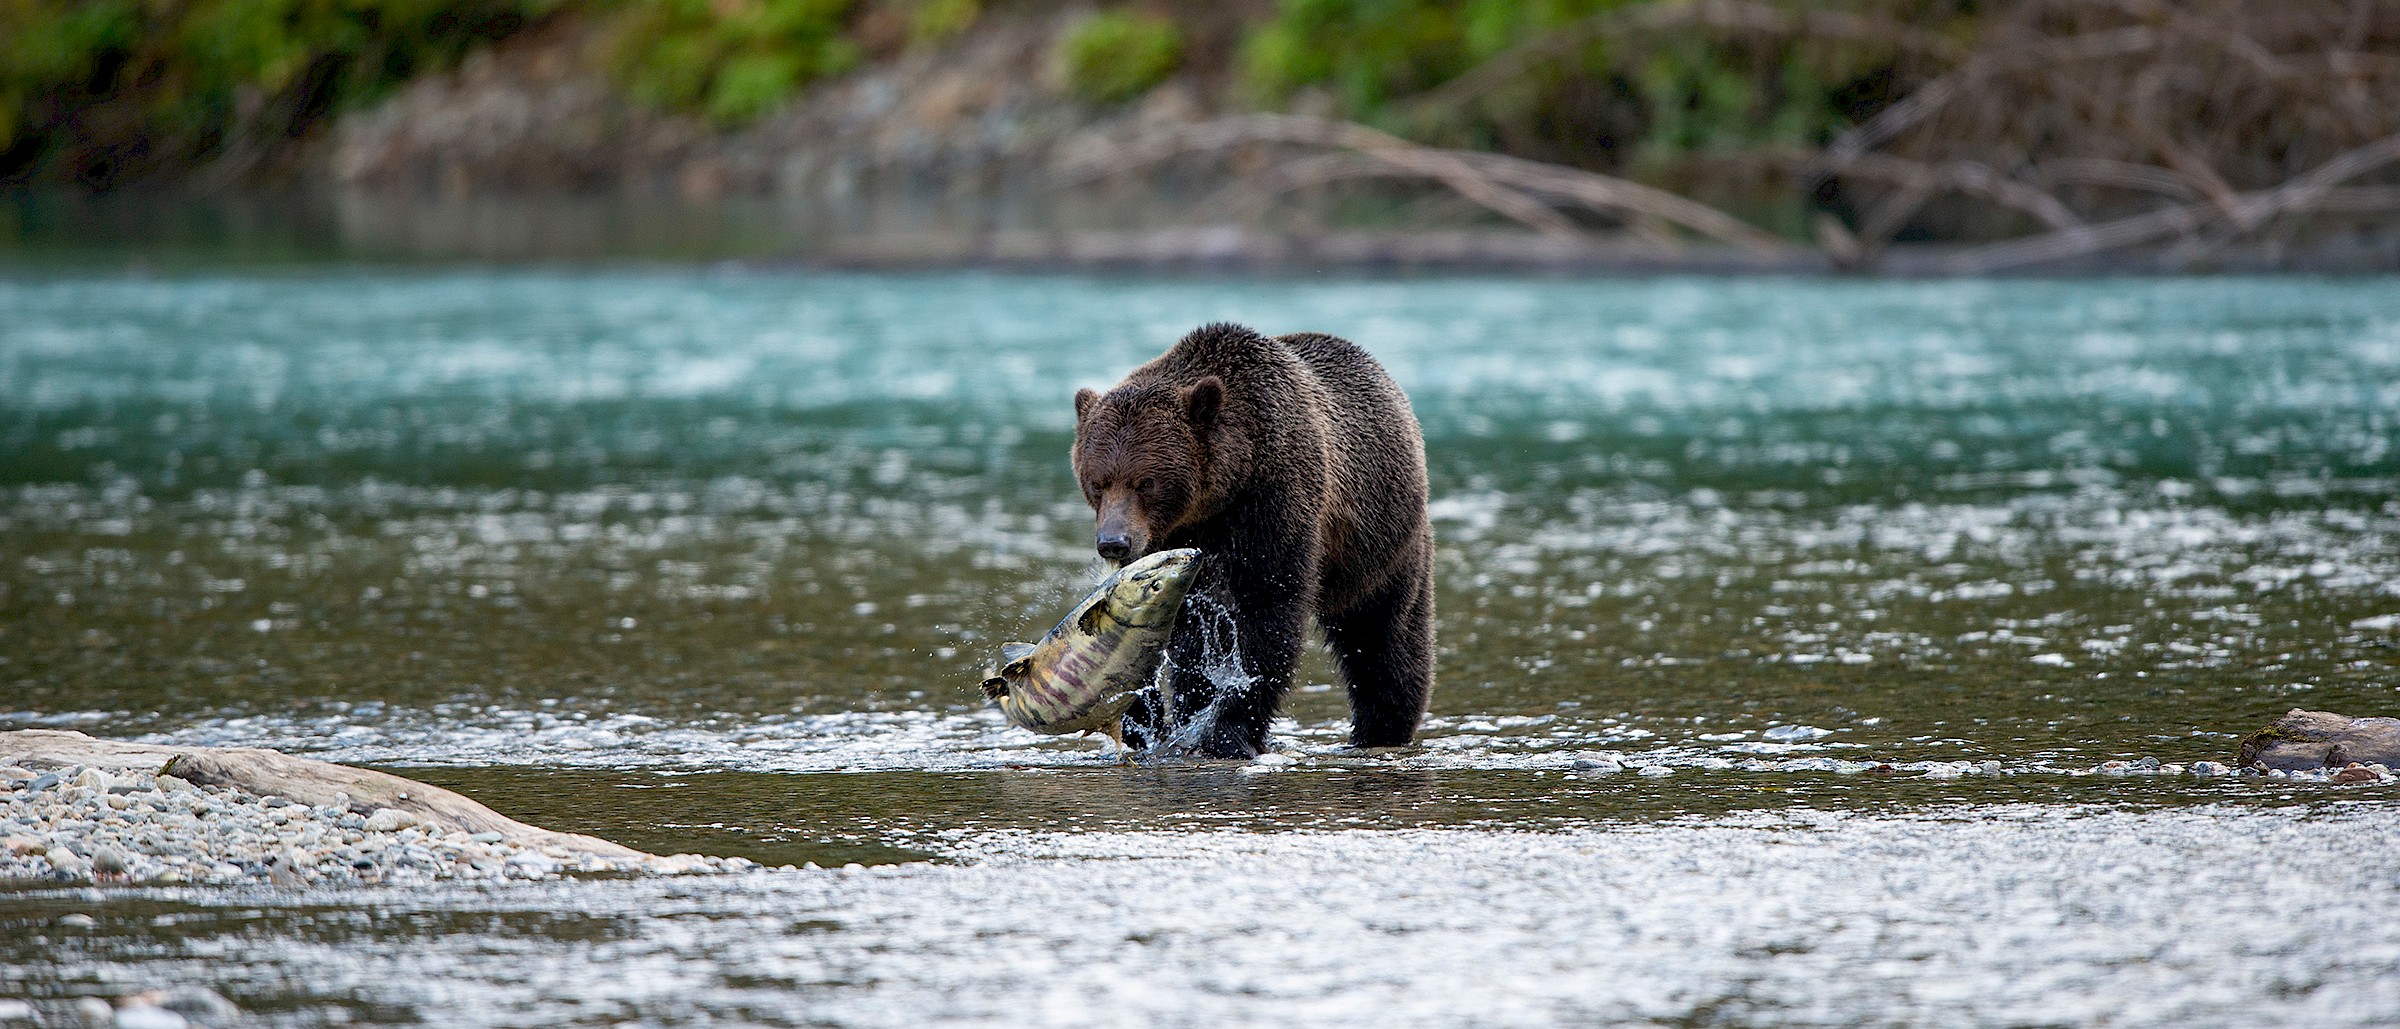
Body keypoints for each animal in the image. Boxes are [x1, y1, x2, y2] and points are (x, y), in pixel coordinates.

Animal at [1075, 321, 1430, 753]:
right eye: (1097, 482)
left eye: (1145, 482)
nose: (1114, 542)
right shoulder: (1173, 542)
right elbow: (1189, 634)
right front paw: (1187, 711)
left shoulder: (1277, 505)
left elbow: (1269, 613)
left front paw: (1229, 730)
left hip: (1382, 543)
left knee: (1384, 633)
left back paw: (1383, 725)